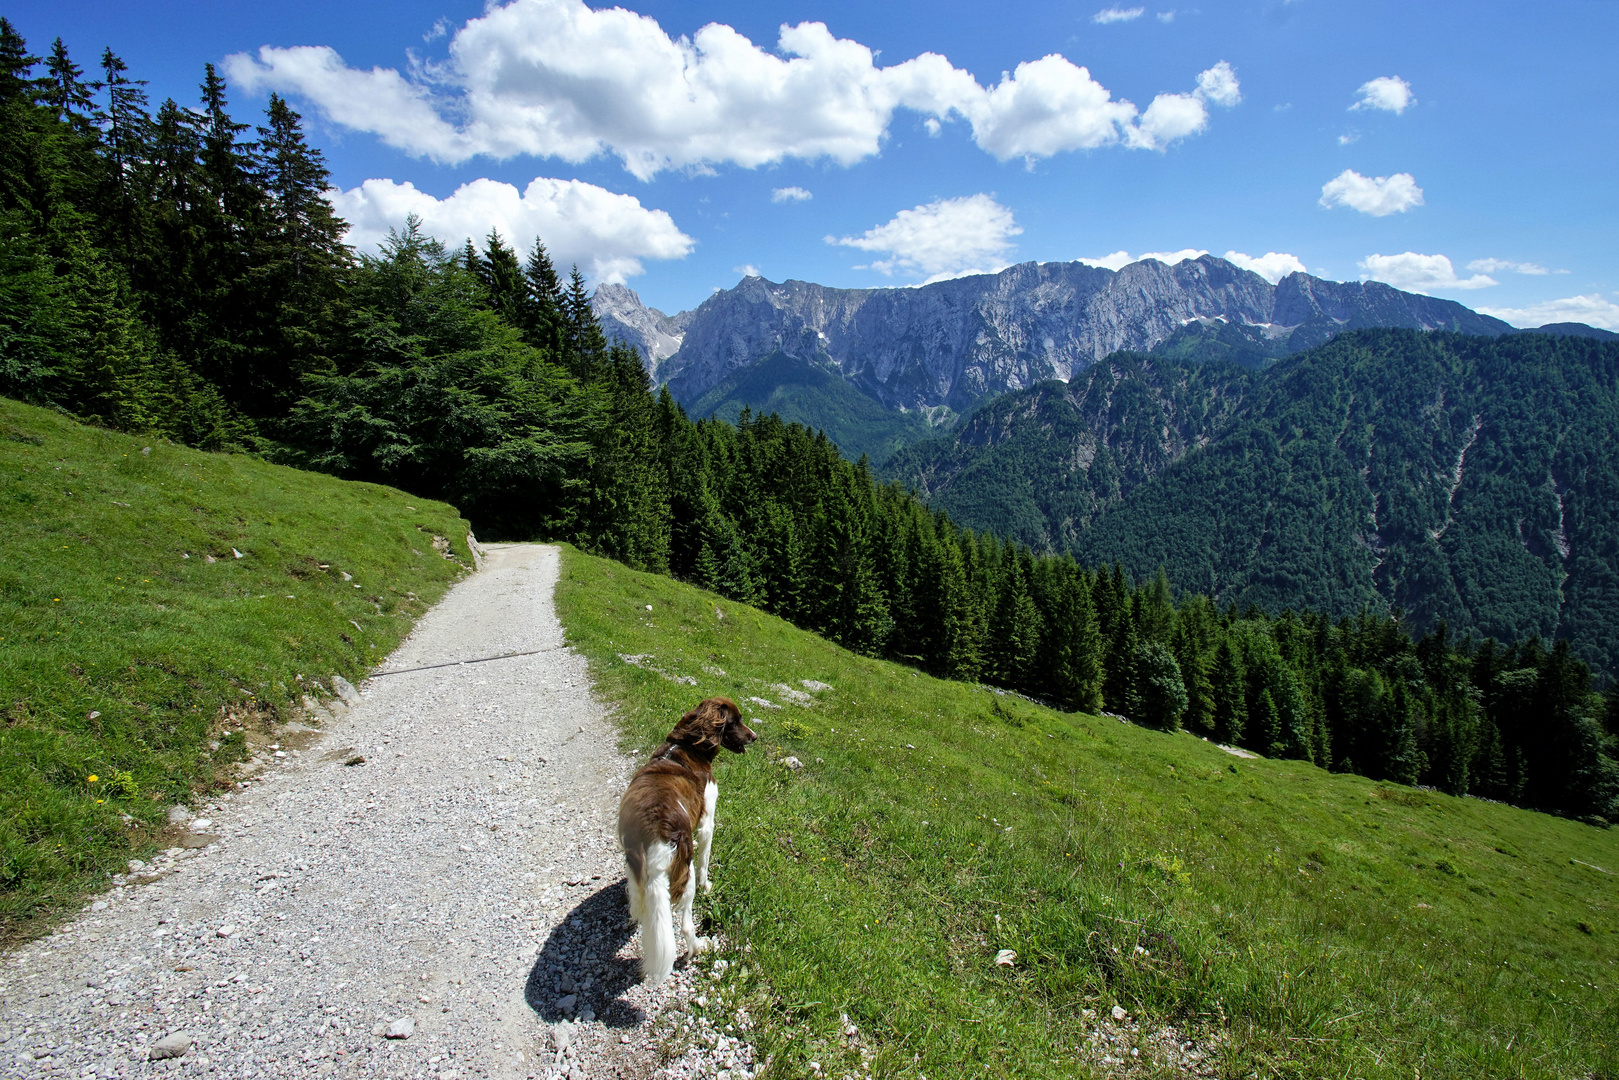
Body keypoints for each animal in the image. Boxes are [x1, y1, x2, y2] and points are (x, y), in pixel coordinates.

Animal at [615, 696, 754, 984]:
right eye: (736, 721)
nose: (755, 737)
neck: (687, 746)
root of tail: (653, 832)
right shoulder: (707, 820)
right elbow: (705, 861)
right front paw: (707, 885)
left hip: (635, 868)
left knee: (639, 907)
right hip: (684, 872)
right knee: (686, 924)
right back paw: (699, 947)